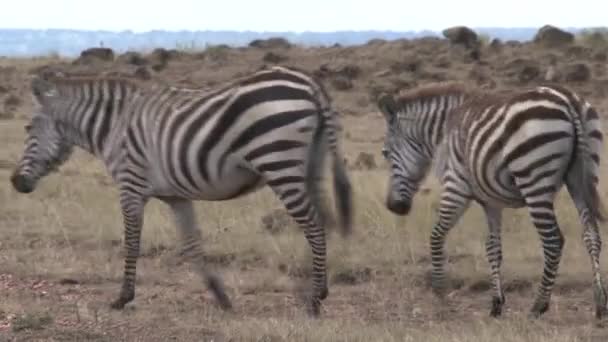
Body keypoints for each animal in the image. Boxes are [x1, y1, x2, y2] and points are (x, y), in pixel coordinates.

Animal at [9, 65, 354, 316]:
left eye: (28, 128)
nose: (15, 182)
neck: (113, 128)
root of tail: (310, 83)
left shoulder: (131, 186)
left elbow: (131, 242)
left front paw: (123, 298)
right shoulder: (177, 196)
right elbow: (192, 244)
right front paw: (220, 296)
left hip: (278, 162)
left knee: (313, 225)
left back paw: (315, 299)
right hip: (309, 166)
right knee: (320, 221)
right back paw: (314, 290)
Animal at [378, 81, 604, 320]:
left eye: (385, 153)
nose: (393, 206)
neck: (444, 132)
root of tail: (567, 100)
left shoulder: (456, 186)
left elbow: (436, 235)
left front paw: (440, 292)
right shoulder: (491, 202)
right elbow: (493, 248)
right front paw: (496, 304)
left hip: (534, 180)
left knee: (553, 241)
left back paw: (538, 305)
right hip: (581, 178)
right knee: (592, 236)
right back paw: (600, 303)